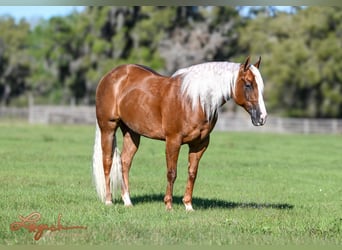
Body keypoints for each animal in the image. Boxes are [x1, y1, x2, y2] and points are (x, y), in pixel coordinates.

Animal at [92, 55, 266, 210]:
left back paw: (127, 201)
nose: (262, 118)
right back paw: (108, 201)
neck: (195, 101)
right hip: (108, 128)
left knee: (125, 162)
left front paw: (188, 205)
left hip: (132, 132)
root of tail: (111, 76)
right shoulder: (173, 141)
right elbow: (172, 173)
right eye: (248, 84)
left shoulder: (199, 144)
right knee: (107, 161)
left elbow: (192, 173)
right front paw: (168, 205)